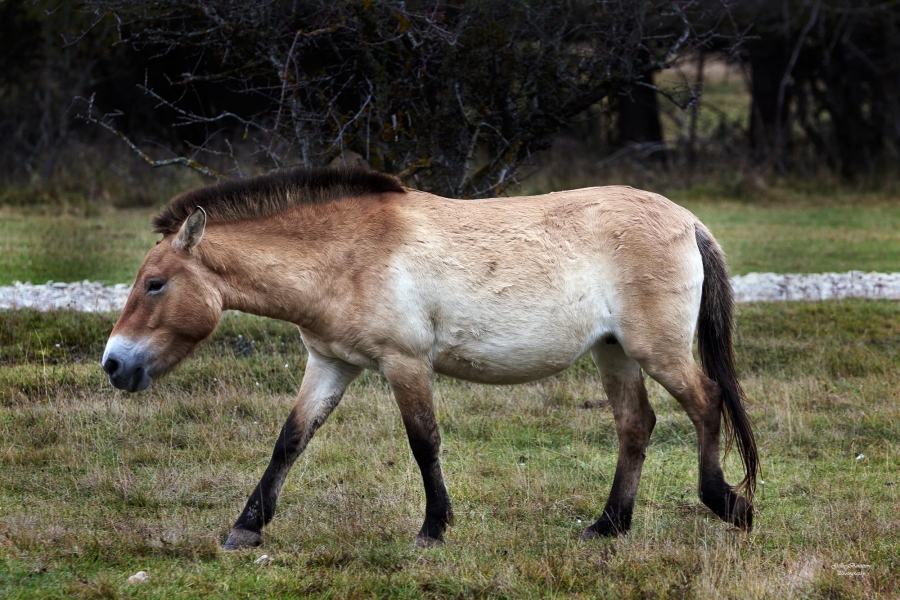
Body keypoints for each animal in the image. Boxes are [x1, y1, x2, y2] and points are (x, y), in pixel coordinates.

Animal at [101, 168, 759, 549]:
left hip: (657, 350)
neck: (344, 255)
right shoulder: (331, 364)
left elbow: (424, 442)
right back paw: (608, 525)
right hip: (613, 352)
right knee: (635, 425)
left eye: (155, 284)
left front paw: (433, 529)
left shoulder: (405, 363)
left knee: (707, 403)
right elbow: (290, 440)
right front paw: (245, 528)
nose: (113, 364)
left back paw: (728, 505)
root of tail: (687, 220)